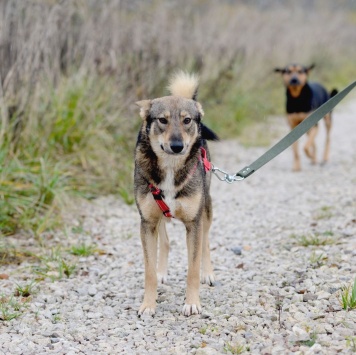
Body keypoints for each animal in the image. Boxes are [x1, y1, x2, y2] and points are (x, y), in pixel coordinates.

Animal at [134, 72, 217, 318]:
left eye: (187, 120)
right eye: (162, 120)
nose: (177, 146)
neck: (171, 167)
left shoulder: (193, 223)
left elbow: (193, 268)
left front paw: (192, 303)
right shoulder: (147, 222)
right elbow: (149, 271)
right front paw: (148, 305)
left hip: (206, 209)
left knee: (206, 241)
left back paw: (208, 273)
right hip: (158, 216)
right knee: (166, 241)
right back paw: (162, 271)